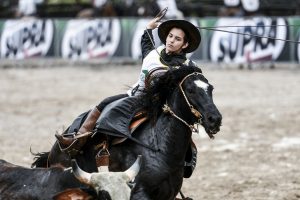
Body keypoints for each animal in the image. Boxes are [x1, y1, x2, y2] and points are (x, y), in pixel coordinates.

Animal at [32, 66, 221, 199]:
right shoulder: (139, 193)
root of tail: (56, 147)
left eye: (211, 88)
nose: (215, 119)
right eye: (190, 90)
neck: (159, 147)